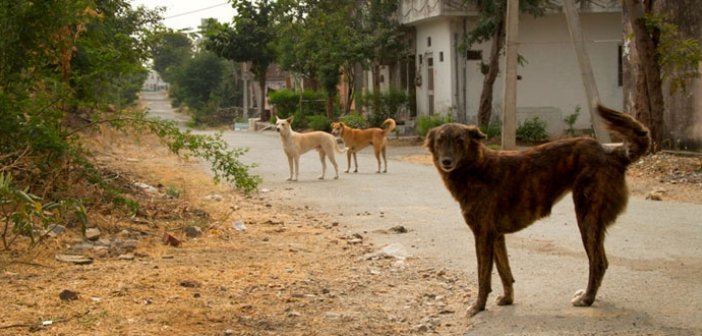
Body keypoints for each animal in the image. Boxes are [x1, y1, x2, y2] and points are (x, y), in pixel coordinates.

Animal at [424, 105, 656, 318]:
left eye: (459, 141)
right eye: (440, 141)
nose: (446, 161)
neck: (476, 169)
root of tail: (610, 151)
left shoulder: (482, 235)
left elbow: (484, 277)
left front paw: (478, 307)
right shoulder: (496, 236)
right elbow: (505, 272)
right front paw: (508, 299)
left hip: (586, 217)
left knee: (598, 262)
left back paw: (587, 299)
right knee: (602, 261)